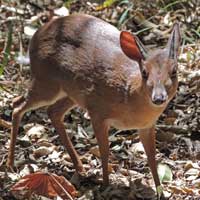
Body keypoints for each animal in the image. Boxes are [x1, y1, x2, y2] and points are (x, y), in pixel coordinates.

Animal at [7, 14, 180, 198]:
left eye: (174, 71)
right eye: (145, 73)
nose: (159, 98)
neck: (129, 95)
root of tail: (35, 37)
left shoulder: (147, 126)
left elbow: (152, 157)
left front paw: (161, 192)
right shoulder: (98, 112)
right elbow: (104, 151)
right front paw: (105, 185)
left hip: (71, 92)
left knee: (53, 112)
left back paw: (80, 167)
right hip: (46, 81)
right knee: (17, 104)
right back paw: (10, 165)